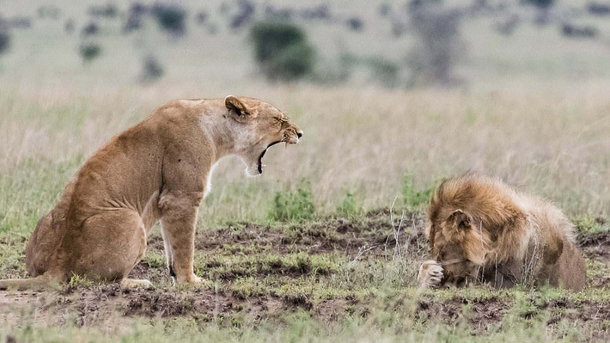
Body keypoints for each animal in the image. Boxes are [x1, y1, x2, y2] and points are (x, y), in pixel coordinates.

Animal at [0, 96, 302, 290]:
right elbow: (185, 246)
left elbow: (172, 248)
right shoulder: (182, 197)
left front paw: (176, 277)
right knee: (96, 280)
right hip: (130, 219)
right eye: (279, 120)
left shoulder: (170, 203)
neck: (216, 130)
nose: (300, 133)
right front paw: (191, 282)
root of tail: (58, 263)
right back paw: (137, 283)